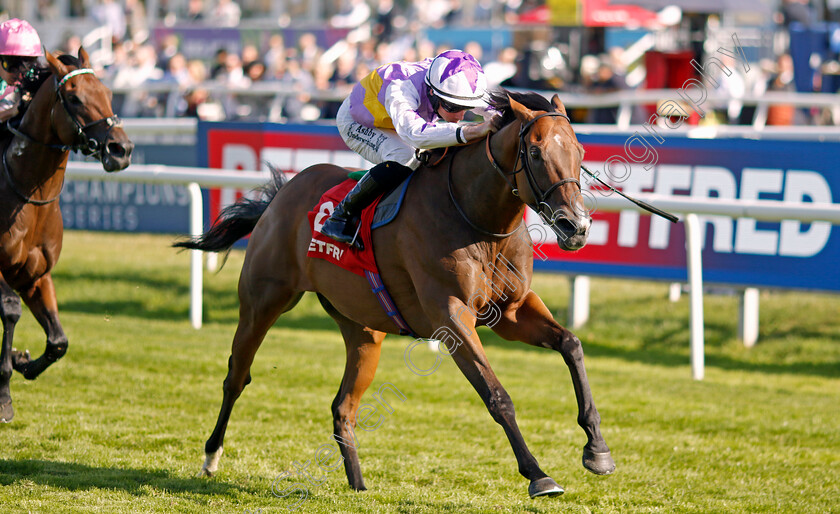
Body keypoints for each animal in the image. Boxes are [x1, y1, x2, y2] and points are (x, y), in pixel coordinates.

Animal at [0, 48, 133, 422]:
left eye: (108, 92)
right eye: (73, 97)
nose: (121, 150)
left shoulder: (35, 276)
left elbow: (59, 342)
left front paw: (22, 360)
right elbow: (10, 310)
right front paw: (4, 396)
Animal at [179, 89, 612, 496]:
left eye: (579, 152)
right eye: (535, 152)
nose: (576, 227)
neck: (477, 217)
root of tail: (282, 194)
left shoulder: (511, 310)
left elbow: (571, 344)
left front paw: (597, 450)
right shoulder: (451, 316)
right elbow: (497, 395)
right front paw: (538, 475)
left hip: (363, 329)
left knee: (343, 407)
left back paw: (358, 484)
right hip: (263, 301)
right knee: (237, 377)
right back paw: (211, 457)